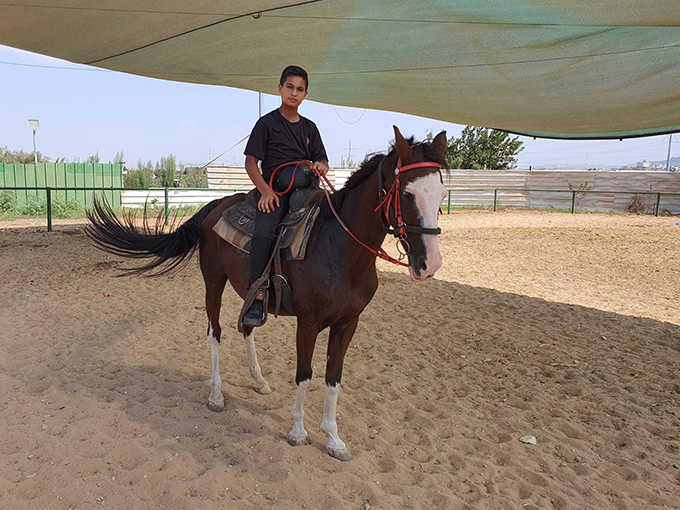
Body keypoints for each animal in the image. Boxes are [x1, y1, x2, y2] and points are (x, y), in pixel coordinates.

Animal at [87, 125, 448, 460]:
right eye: (407, 194)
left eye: (442, 193)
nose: (429, 263)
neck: (339, 248)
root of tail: (216, 204)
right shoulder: (308, 322)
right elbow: (305, 375)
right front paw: (298, 432)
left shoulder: (348, 323)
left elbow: (333, 378)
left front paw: (334, 440)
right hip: (213, 282)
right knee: (215, 333)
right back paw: (216, 396)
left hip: (248, 289)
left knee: (247, 325)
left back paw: (258, 381)